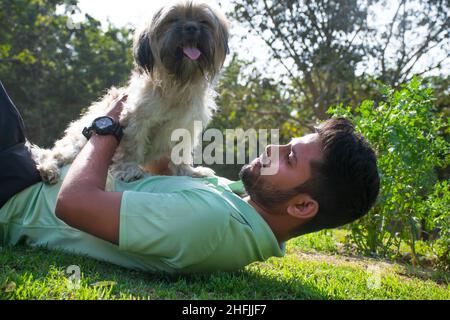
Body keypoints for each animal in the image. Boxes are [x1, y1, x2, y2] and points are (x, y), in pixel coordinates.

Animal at [32, 0, 229, 182]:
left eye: (203, 21)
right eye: (173, 20)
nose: (191, 27)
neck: (177, 84)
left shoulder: (186, 126)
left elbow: (181, 152)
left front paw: (187, 172)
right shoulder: (136, 118)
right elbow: (131, 146)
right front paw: (129, 169)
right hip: (79, 142)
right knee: (54, 154)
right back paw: (48, 169)